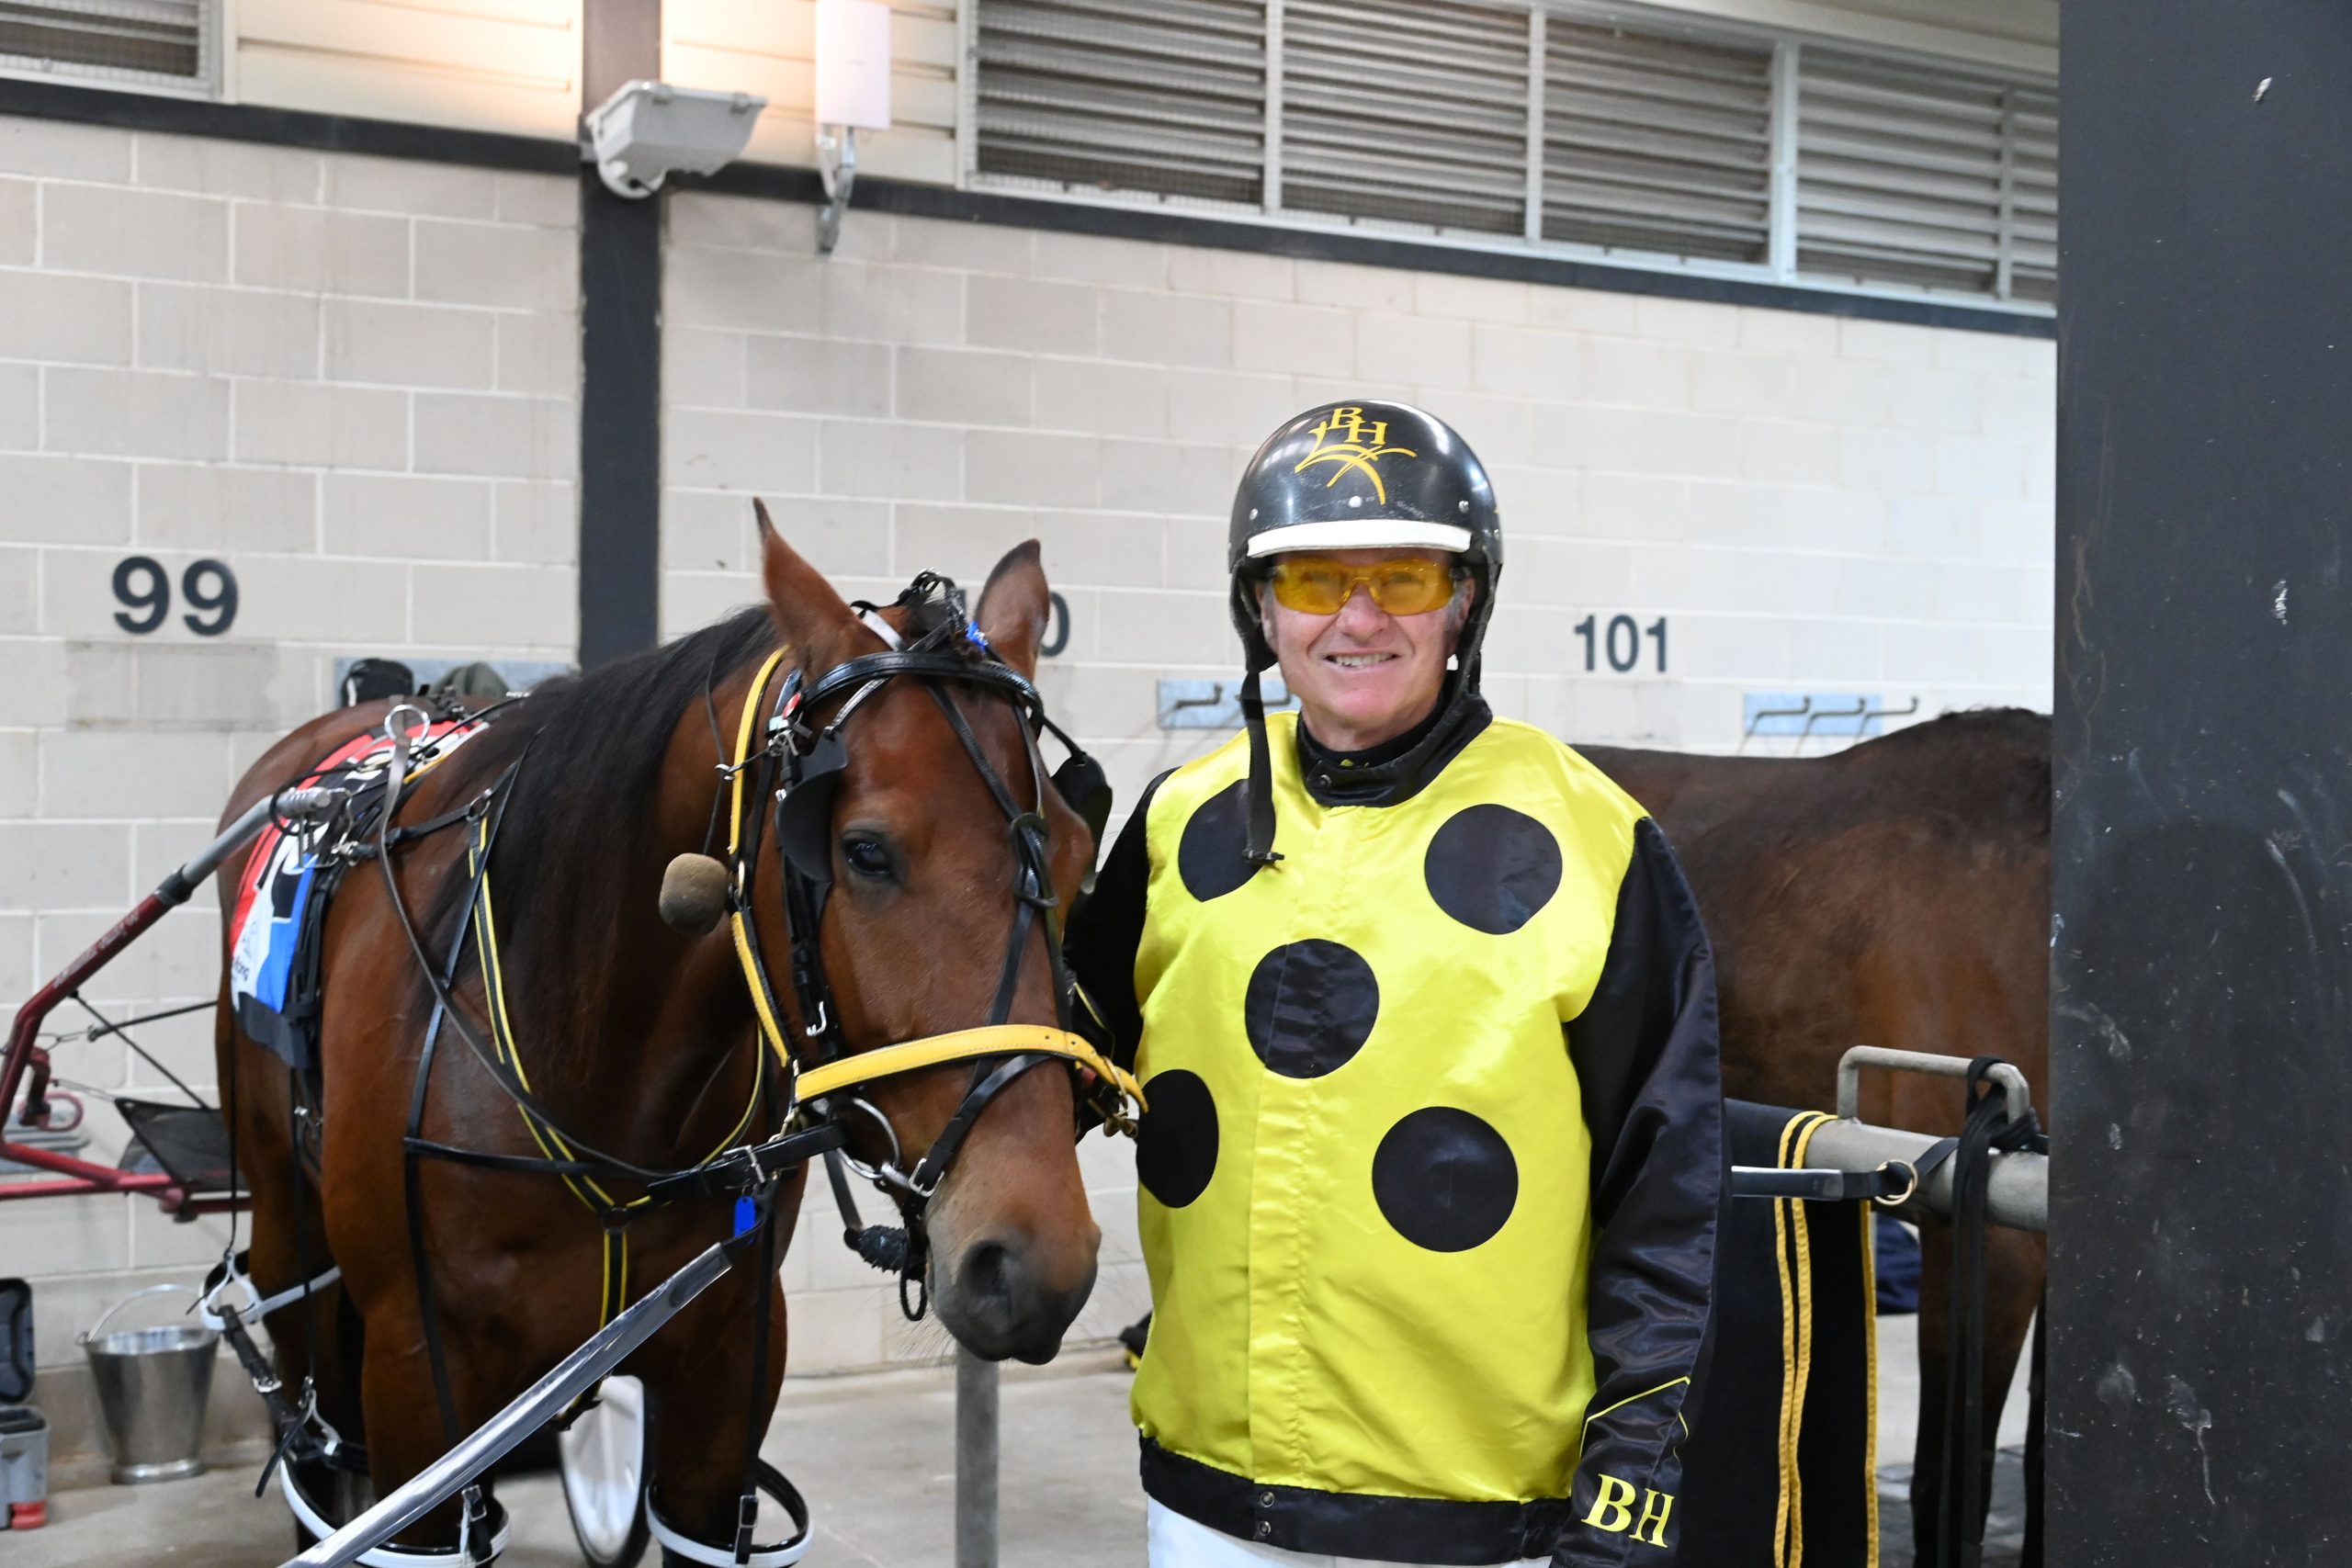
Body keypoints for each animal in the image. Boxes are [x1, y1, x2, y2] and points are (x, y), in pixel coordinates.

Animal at [212, 516, 1111, 1560]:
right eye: (864, 851)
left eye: (1077, 853)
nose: (1035, 1262)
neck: (588, 1063)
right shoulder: (416, 1385)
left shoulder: (727, 1369)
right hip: (292, 1241)